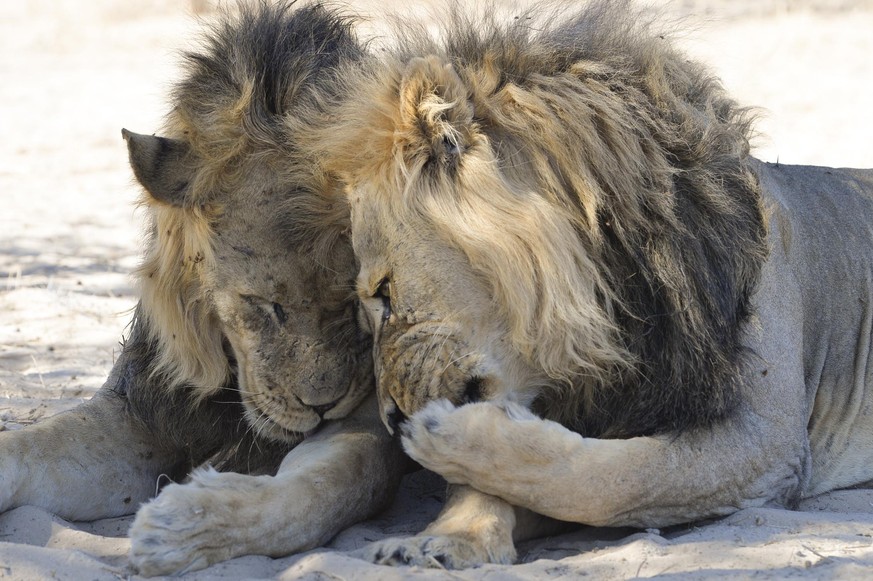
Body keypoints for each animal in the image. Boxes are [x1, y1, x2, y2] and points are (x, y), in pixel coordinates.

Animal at [0, 2, 406, 576]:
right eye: (263, 305)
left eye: (356, 303)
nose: (322, 406)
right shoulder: (138, 409)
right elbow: (26, 445)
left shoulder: (369, 422)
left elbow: (334, 482)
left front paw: (186, 526)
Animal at [308, 0, 873, 568]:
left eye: (383, 292)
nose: (389, 419)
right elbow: (511, 482)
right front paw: (451, 537)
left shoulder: (769, 443)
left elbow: (614, 479)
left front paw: (448, 440)